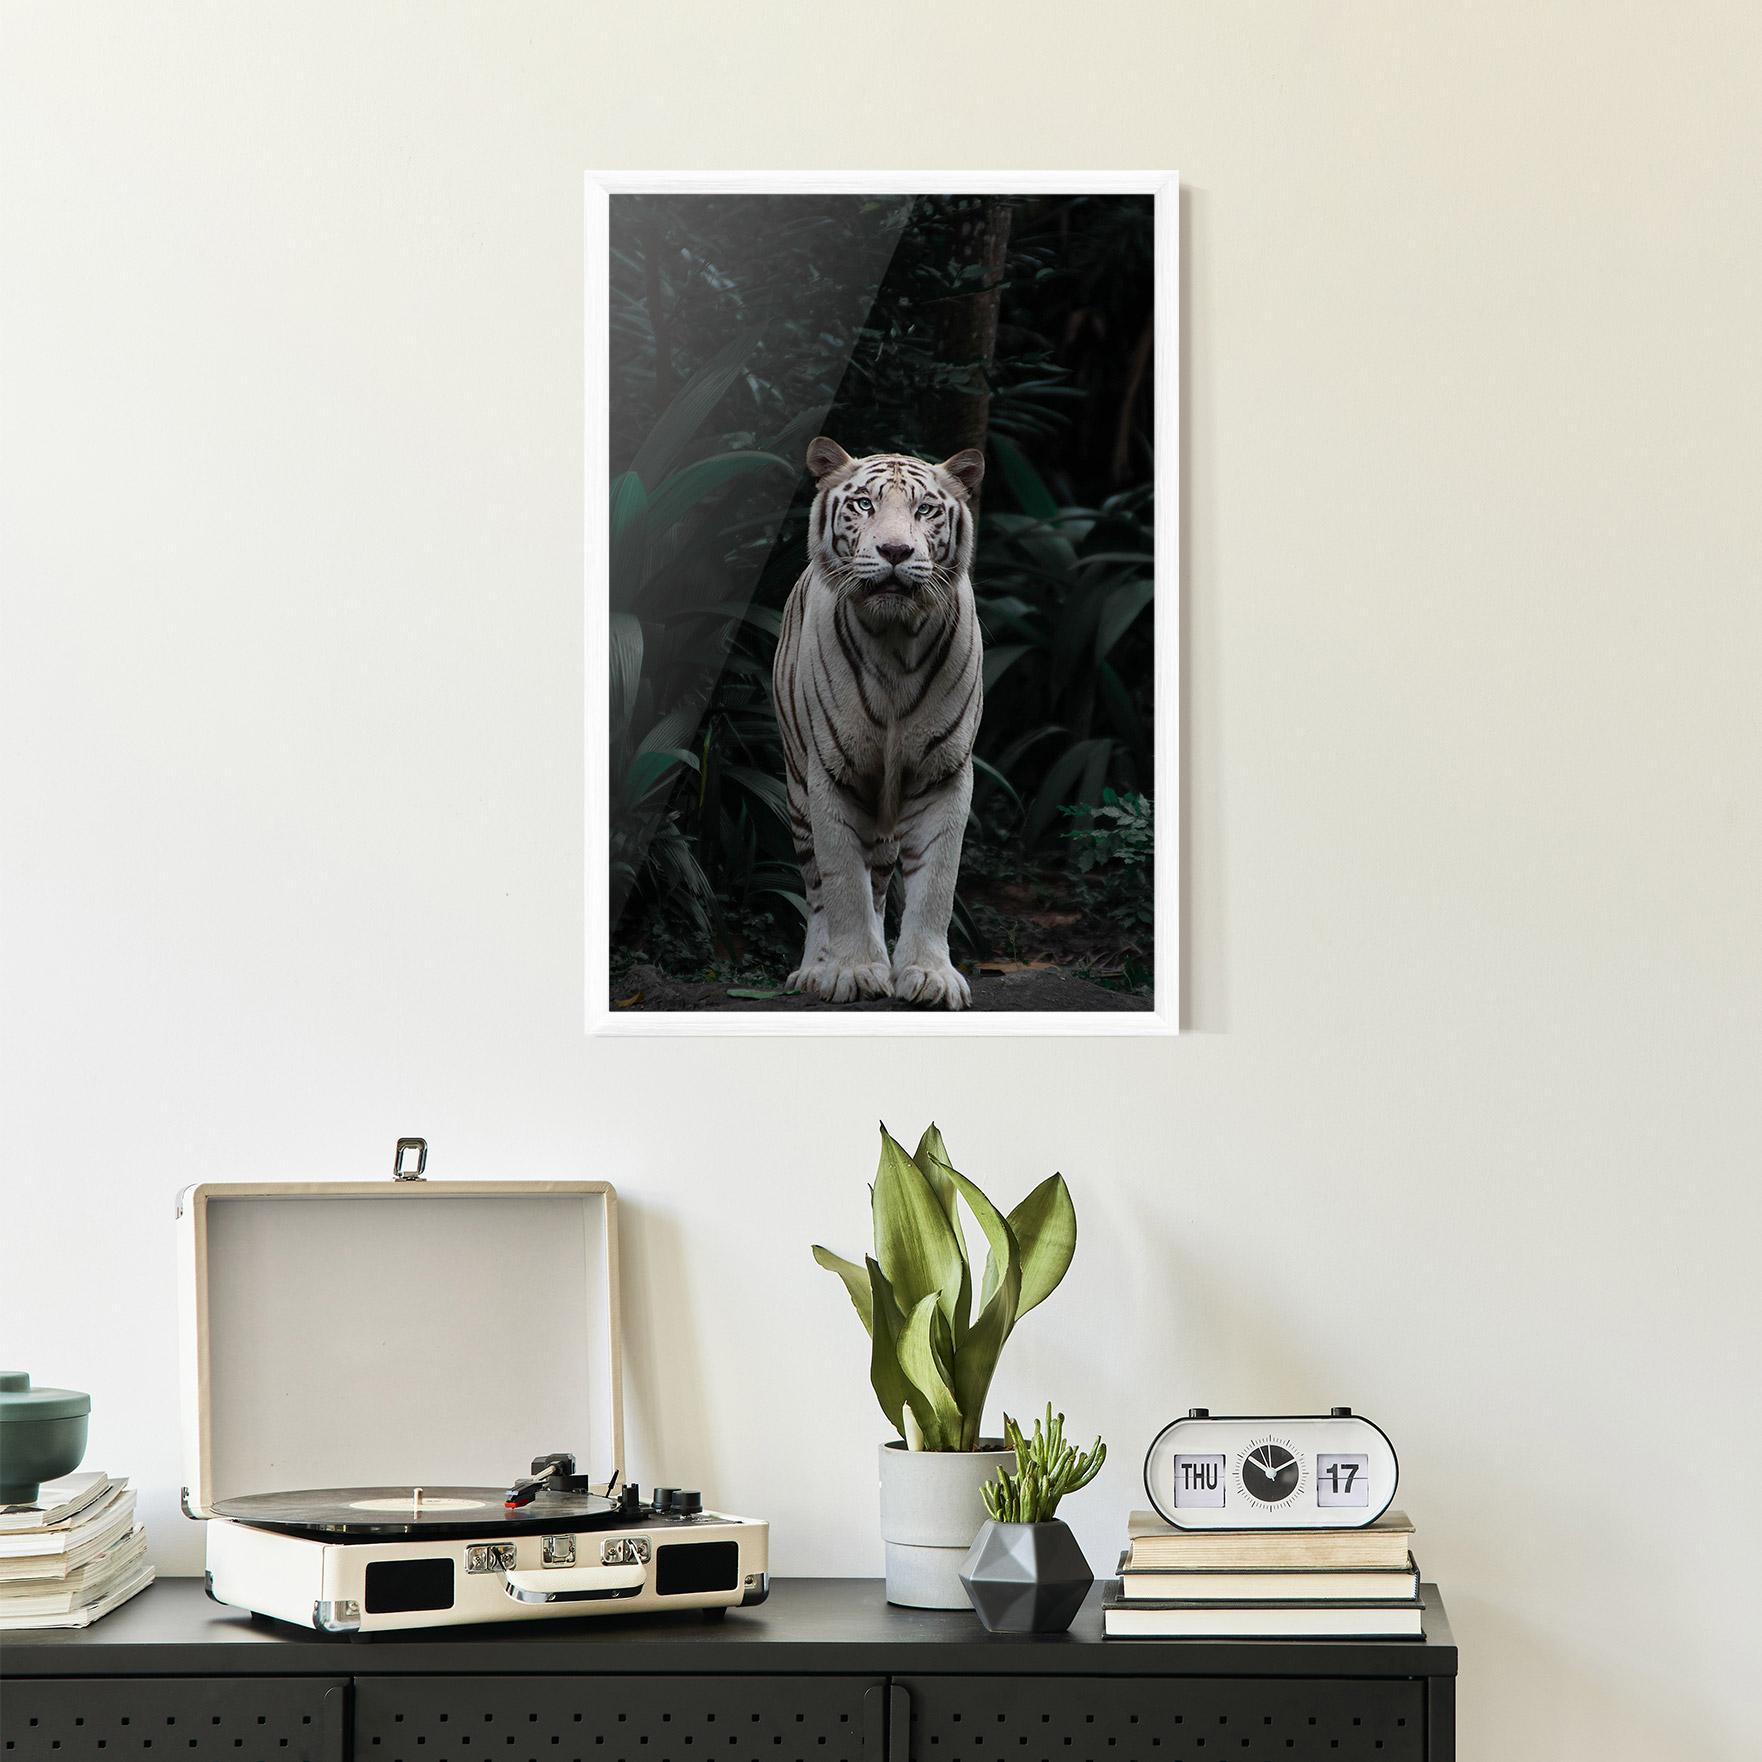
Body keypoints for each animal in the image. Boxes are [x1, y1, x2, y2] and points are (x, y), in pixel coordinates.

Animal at [771, 435, 986, 1009]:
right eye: (864, 504)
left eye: (925, 509)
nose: (894, 552)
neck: (894, 641)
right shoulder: (831, 773)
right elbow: (843, 882)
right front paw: (853, 970)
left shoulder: (944, 773)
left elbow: (936, 883)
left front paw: (929, 974)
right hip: (796, 791)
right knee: (818, 889)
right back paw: (815, 969)